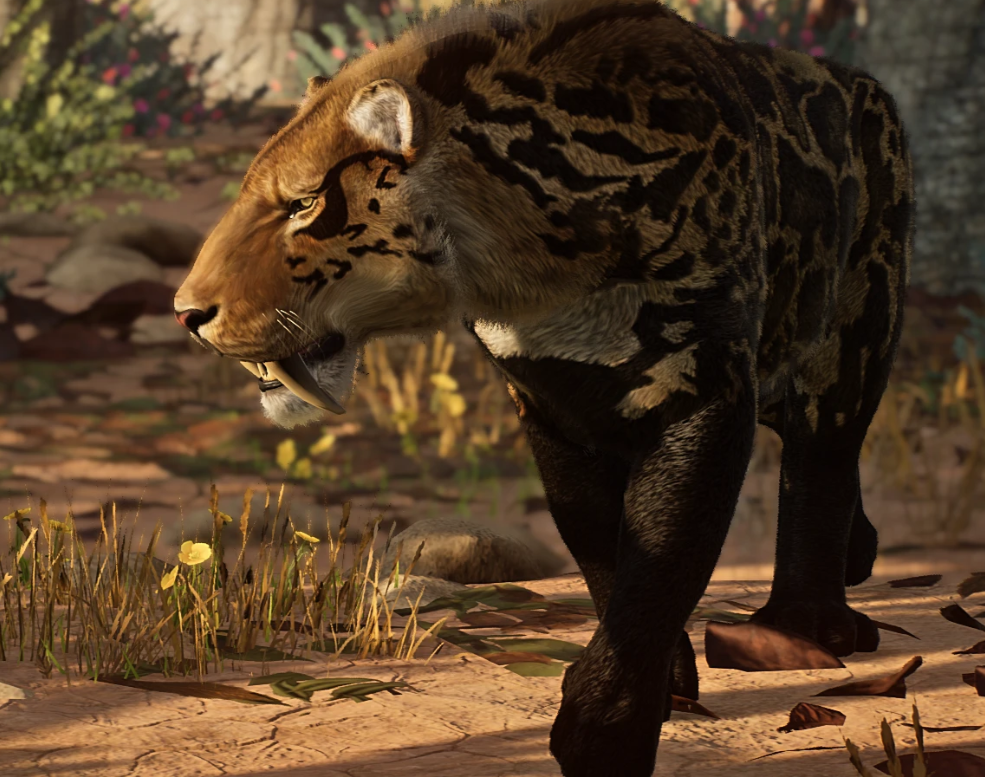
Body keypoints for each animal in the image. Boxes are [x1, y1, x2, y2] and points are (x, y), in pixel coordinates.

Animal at [173, 0, 914, 773]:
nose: (185, 311)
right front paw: (660, 683)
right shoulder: (553, 407)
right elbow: (603, 551)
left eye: (303, 203)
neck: (534, 263)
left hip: (854, 340)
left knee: (820, 463)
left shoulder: (704, 391)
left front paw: (605, 728)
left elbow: (662, 561)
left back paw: (807, 623)